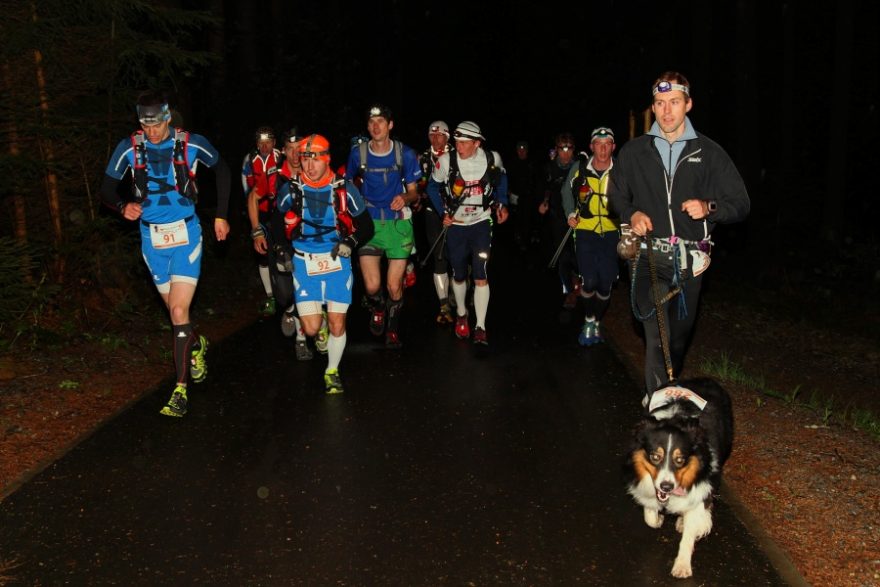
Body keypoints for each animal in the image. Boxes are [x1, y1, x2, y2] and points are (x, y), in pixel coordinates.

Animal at [624, 382, 736, 580]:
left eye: (680, 460)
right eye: (655, 457)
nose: (667, 487)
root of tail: (709, 379)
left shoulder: (702, 488)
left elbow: (691, 531)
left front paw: (682, 565)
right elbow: (649, 516)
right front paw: (658, 519)